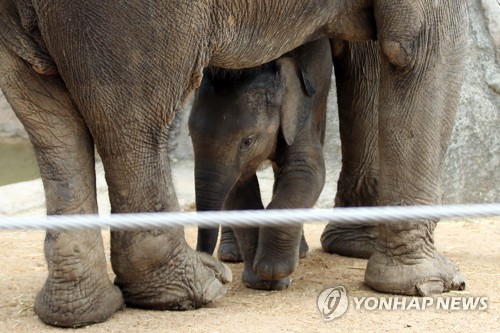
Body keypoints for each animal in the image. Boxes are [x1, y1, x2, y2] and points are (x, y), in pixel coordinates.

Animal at [189, 37, 334, 290]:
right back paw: (231, 254)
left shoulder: (299, 113)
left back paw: (300, 251)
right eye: (190, 136)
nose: (215, 274)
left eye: (247, 141)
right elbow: (238, 190)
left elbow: (307, 171)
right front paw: (261, 281)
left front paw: (273, 272)